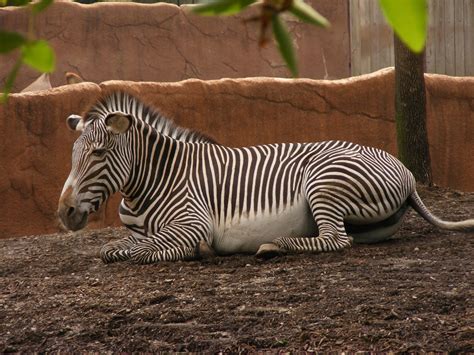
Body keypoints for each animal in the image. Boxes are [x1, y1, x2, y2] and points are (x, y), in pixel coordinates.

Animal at [58, 92, 474, 264]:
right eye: (73, 155)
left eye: (98, 154)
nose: (64, 213)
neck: (151, 180)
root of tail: (407, 173)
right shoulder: (136, 231)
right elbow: (112, 249)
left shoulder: (193, 222)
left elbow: (142, 252)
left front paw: (198, 251)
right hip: (366, 221)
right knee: (344, 237)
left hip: (323, 180)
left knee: (336, 240)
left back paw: (275, 245)